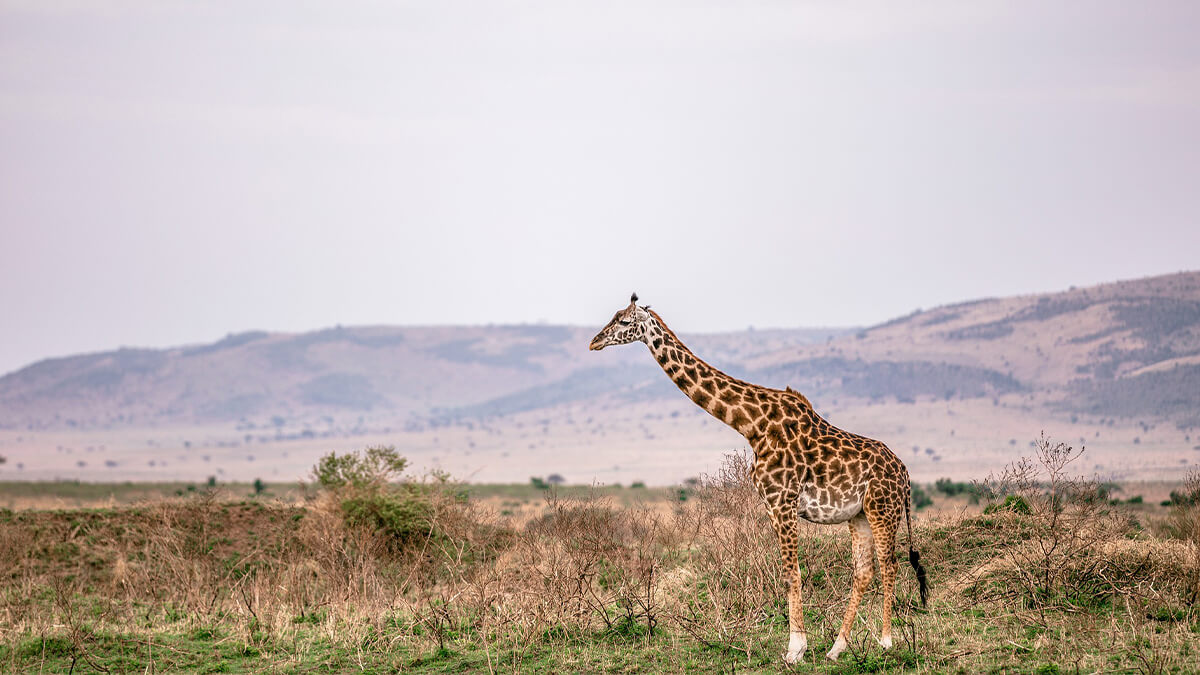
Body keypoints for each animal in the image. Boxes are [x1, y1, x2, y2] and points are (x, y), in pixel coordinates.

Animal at [590, 293, 926, 662]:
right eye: (613, 316)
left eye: (624, 322)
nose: (595, 342)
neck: (751, 424)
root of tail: (905, 473)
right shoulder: (771, 504)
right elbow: (791, 572)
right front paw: (802, 646)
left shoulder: (783, 501)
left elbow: (792, 573)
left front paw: (795, 648)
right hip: (860, 515)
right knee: (864, 571)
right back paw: (837, 648)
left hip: (883, 510)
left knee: (889, 564)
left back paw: (886, 641)